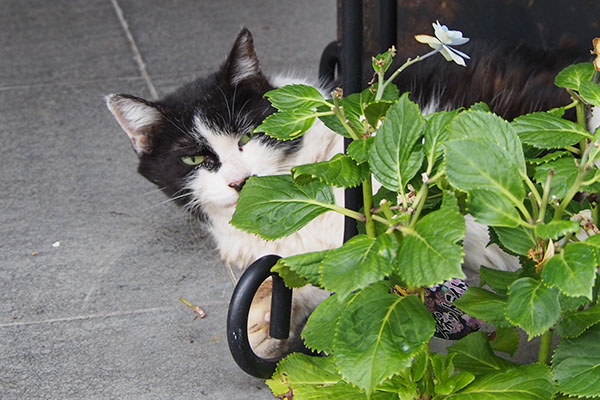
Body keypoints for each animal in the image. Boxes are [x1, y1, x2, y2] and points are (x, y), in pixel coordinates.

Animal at [105, 28, 596, 356]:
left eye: (247, 135)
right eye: (192, 160)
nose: (240, 180)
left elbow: (354, 268)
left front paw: (265, 321)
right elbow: (301, 271)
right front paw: (268, 319)